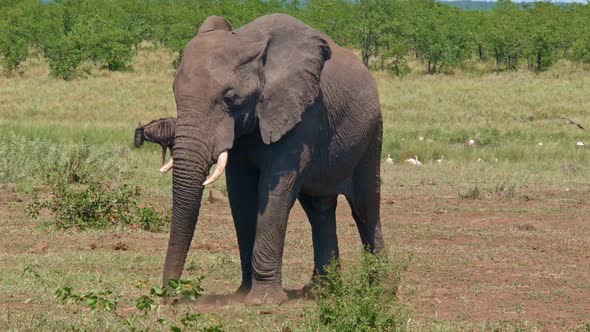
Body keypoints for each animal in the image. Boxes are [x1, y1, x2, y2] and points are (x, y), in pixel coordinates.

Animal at [162, 13, 386, 306]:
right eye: (174, 92)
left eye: (231, 97)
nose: (169, 297)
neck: (249, 41)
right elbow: (241, 194)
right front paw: (244, 293)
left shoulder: (301, 114)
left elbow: (274, 191)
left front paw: (264, 301)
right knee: (319, 208)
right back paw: (321, 291)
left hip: (372, 133)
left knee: (365, 207)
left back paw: (382, 291)